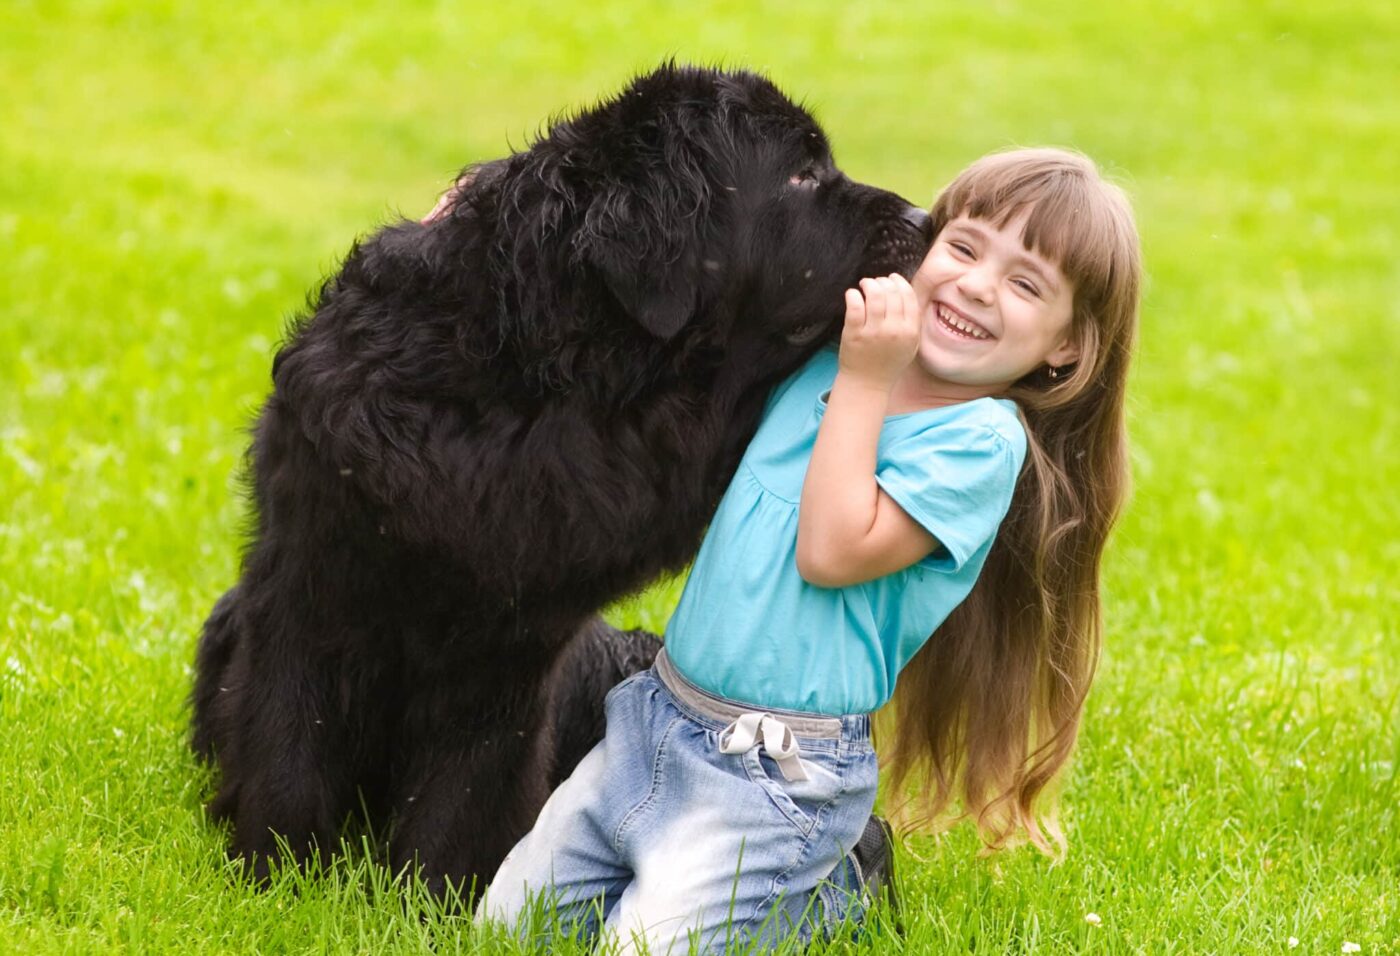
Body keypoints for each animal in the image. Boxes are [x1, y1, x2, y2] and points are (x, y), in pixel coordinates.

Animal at [186, 63, 929, 895]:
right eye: (801, 174)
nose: (927, 217)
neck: (540, 375)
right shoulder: (311, 582)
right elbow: (291, 741)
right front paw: (277, 880)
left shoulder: (510, 643)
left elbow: (469, 785)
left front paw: (431, 898)